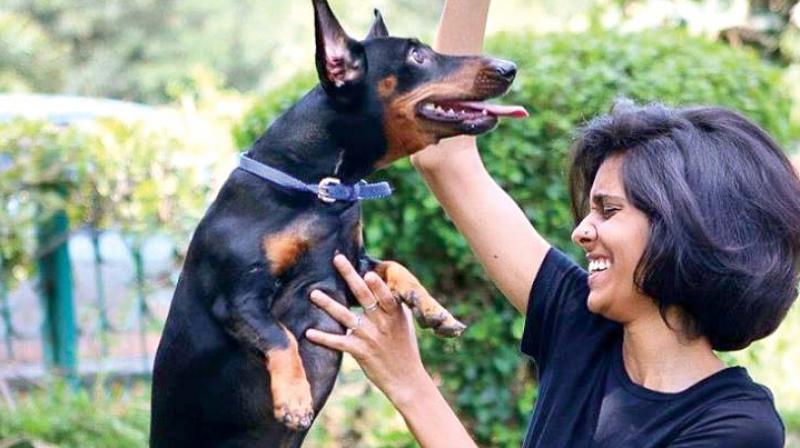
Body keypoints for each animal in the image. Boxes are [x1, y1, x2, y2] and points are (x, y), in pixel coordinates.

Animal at [152, 1, 524, 446]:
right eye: (417, 56)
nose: (509, 67)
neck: (318, 192)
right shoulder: (239, 297)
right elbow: (280, 335)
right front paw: (295, 399)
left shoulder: (350, 265)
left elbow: (396, 266)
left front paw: (433, 309)